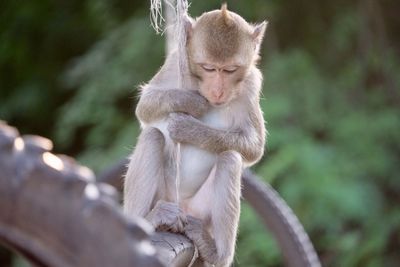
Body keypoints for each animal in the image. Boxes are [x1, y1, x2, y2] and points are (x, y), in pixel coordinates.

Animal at [123, 4, 268, 267]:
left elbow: (254, 147)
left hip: (200, 213)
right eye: (208, 67)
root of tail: (182, 207)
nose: (218, 91)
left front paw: (188, 129)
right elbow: (145, 106)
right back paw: (146, 220)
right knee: (152, 136)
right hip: (165, 196)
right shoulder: (174, 62)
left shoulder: (253, 83)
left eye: (230, 70)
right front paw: (190, 102)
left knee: (230, 159)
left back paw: (217, 252)